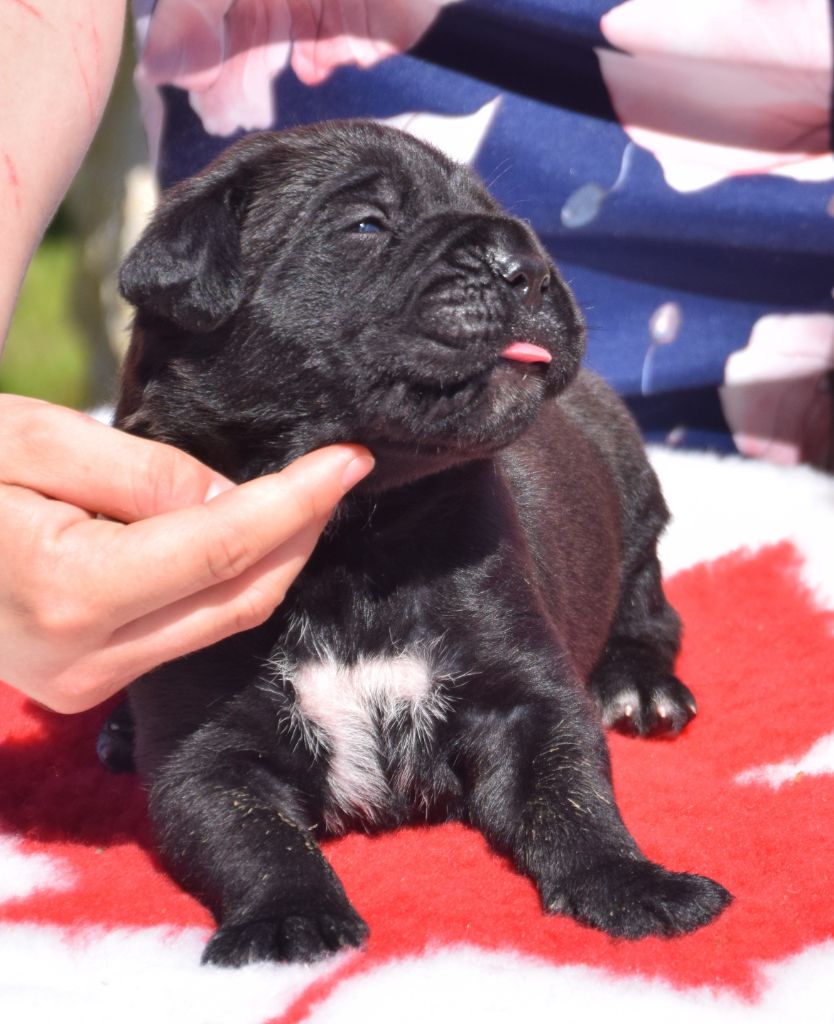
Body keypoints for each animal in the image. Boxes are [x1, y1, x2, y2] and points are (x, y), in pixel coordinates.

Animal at [113, 121, 731, 967]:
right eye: (367, 225)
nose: (527, 266)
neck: (352, 542)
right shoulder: (204, 743)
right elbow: (250, 834)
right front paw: (289, 917)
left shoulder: (525, 694)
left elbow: (572, 794)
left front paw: (632, 882)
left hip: (637, 507)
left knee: (647, 607)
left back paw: (639, 685)